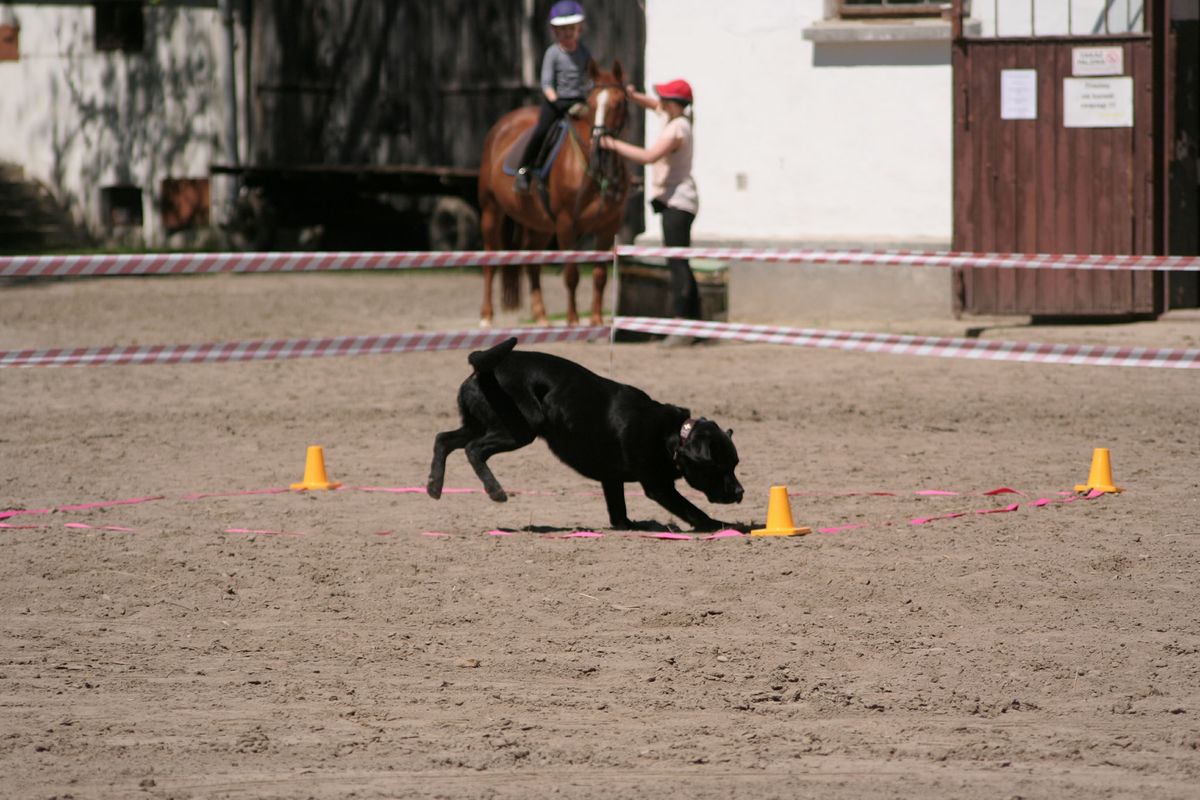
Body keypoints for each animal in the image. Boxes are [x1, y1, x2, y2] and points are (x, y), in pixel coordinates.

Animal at [427, 338, 744, 532]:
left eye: (735, 465)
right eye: (720, 466)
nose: (740, 492)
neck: (672, 436)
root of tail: (482, 369)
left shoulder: (611, 478)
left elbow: (618, 511)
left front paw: (630, 524)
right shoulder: (658, 486)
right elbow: (691, 510)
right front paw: (720, 525)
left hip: (479, 422)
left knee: (443, 439)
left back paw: (434, 486)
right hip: (519, 428)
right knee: (473, 449)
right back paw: (496, 491)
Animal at [475, 58, 633, 328]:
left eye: (620, 102)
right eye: (591, 104)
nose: (600, 144)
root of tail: (501, 126)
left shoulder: (607, 226)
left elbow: (600, 274)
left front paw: (596, 320)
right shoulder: (566, 224)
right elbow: (571, 274)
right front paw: (573, 321)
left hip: (541, 226)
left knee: (533, 265)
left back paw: (542, 318)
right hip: (491, 212)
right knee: (490, 263)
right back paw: (486, 316)